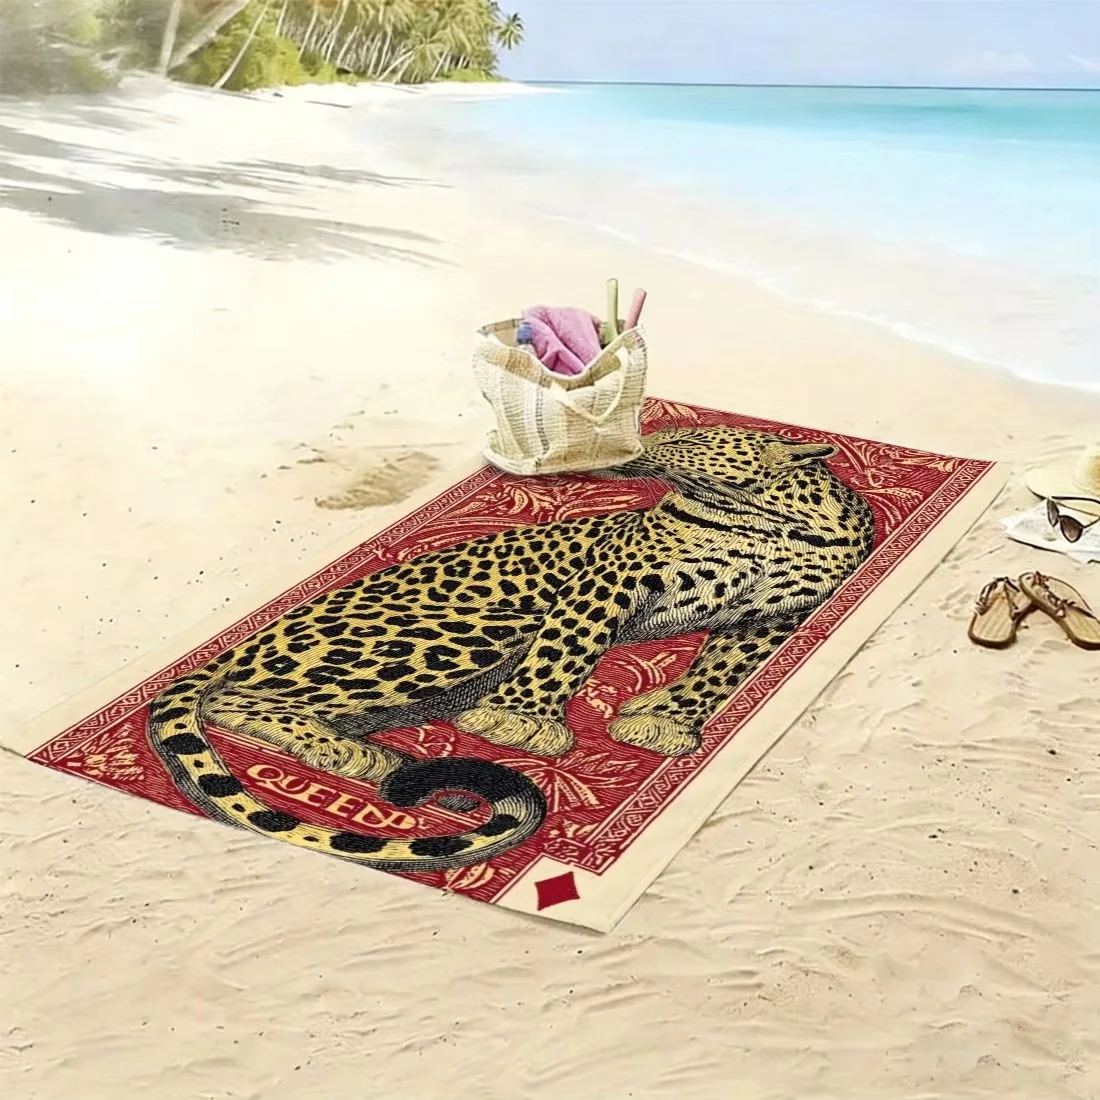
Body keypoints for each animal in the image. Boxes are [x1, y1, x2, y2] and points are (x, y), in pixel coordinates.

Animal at [147, 425, 875, 873]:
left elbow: (718, 673)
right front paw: (520, 721)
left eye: (690, 438)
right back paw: (345, 750)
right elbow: (571, 640)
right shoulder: (613, 575)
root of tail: (255, 634)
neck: (778, 523)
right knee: (233, 698)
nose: (631, 441)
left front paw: (665, 720)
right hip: (470, 630)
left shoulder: (779, 614)